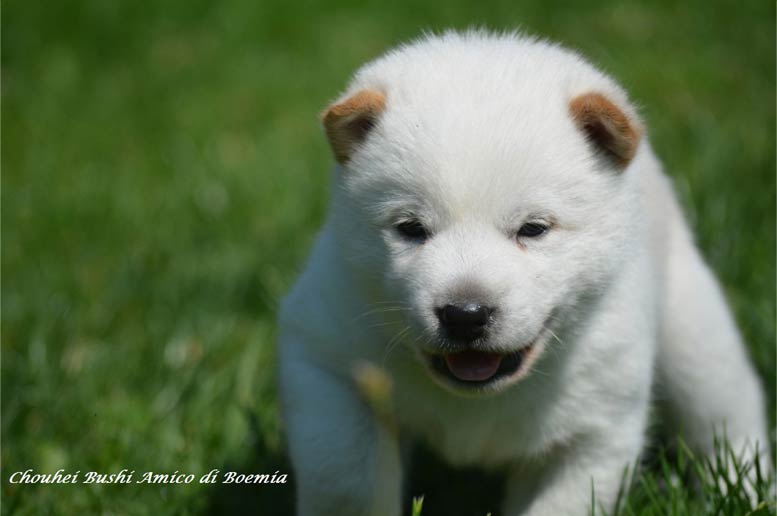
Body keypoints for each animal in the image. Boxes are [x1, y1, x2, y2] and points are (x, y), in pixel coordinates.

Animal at [276, 30, 768, 512]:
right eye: (410, 228)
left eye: (533, 229)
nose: (465, 315)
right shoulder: (328, 365)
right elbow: (346, 479)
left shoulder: (595, 429)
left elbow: (562, 503)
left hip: (694, 331)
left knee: (726, 413)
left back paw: (746, 492)